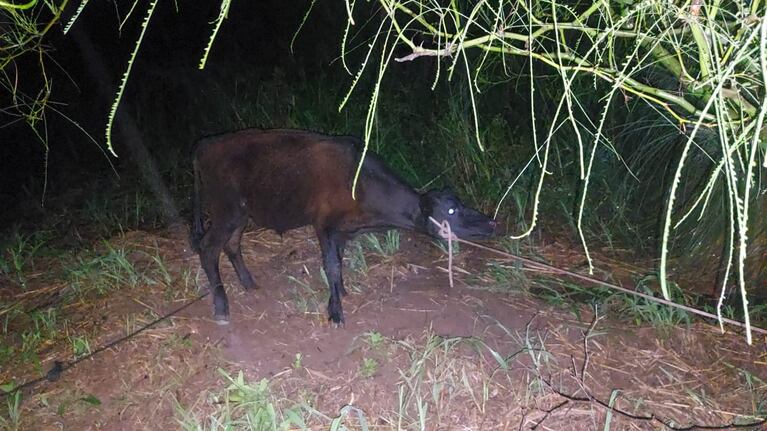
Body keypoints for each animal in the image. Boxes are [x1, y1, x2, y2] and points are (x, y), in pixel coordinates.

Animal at [189, 130, 496, 326]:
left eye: (460, 203)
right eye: (452, 211)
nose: (492, 222)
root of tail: (206, 144)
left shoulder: (342, 231)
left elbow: (339, 261)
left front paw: (341, 293)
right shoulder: (324, 225)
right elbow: (332, 265)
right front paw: (336, 312)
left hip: (241, 214)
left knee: (231, 245)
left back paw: (249, 283)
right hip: (226, 210)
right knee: (208, 248)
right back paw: (221, 307)